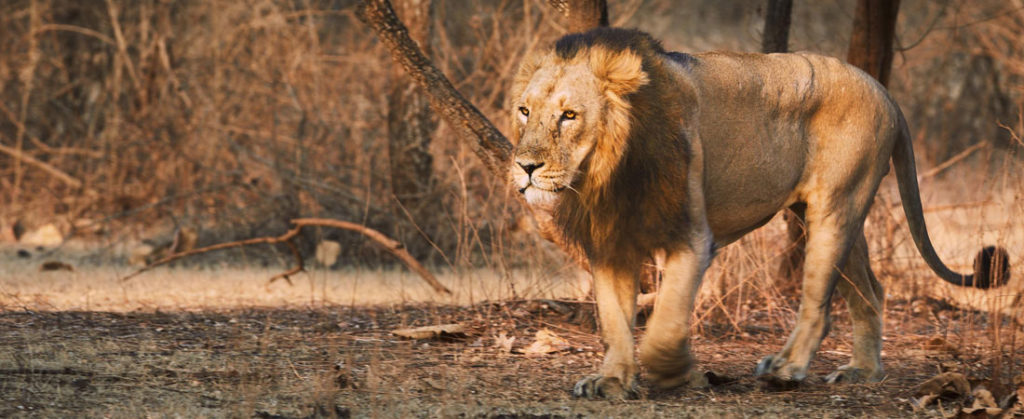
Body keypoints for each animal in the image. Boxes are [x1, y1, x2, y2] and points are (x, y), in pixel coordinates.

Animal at [509, 27, 1007, 397]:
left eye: (570, 115)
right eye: (525, 111)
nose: (526, 167)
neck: (607, 174)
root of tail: (884, 91)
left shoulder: (692, 238)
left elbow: (665, 324)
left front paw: (677, 373)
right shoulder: (613, 241)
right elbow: (614, 319)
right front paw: (613, 379)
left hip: (834, 209)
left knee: (818, 304)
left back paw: (785, 369)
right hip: (832, 216)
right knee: (871, 292)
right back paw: (862, 372)